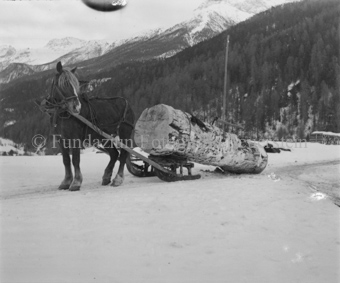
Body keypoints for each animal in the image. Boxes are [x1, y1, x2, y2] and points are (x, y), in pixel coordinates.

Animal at [45, 61, 135, 191]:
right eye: (64, 84)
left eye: (75, 84)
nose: (76, 107)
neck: (63, 113)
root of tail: (127, 102)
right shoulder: (61, 140)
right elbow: (66, 160)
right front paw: (66, 181)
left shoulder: (75, 139)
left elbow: (75, 160)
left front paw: (76, 182)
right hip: (104, 137)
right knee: (114, 154)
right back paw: (106, 176)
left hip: (125, 132)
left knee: (123, 154)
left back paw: (118, 179)